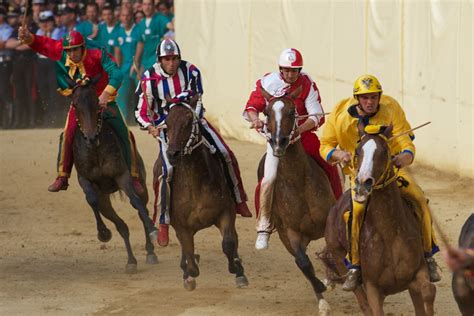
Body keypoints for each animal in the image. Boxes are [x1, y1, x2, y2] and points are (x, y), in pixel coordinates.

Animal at [70, 78, 158, 272]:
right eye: (75, 105)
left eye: (96, 103)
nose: (91, 138)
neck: (95, 151)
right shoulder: (84, 179)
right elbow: (91, 199)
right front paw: (103, 233)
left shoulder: (122, 175)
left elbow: (136, 202)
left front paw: (153, 229)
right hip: (105, 201)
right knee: (121, 225)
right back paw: (131, 260)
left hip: (140, 183)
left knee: (141, 208)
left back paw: (150, 251)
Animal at [153, 95, 250, 290]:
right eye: (167, 123)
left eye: (188, 121)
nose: (172, 153)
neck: (195, 185)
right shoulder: (181, 227)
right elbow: (190, 258)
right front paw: (189, 275)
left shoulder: (226, 213)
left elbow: (228, 243)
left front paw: (237, 270)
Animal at [256, 88, 334, 314]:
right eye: (266, 112)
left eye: (292, 112)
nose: (279, 142)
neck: (298, 181)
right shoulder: (290, 232)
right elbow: (303, 263)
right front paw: (321, 289)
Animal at [324, 126, 436, 316]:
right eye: (358, 151)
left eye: (384, 152)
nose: (362, 184)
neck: (390, 234)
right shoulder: (373, 289)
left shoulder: (418, 273)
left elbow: (429, 291)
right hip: (339, 258)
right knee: (363, 303)